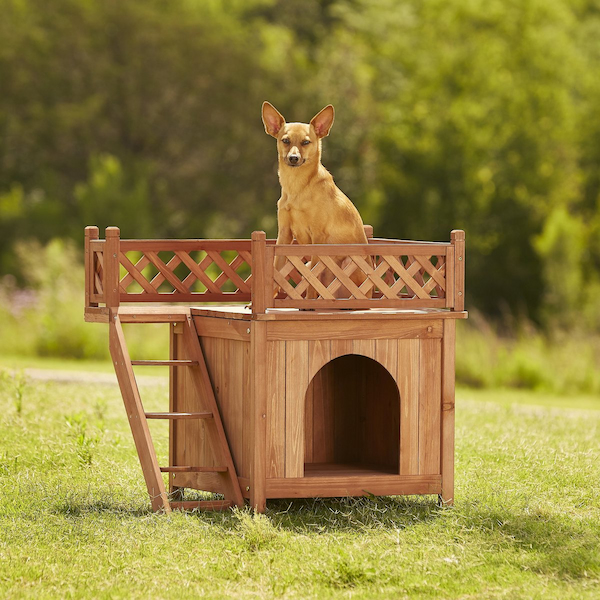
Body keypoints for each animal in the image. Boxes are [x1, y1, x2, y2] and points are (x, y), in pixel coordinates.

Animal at [262, 103, 370, 300]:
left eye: (306, 142)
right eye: (285, 141)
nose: (293, 158)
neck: (297, 187)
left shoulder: (318, 237)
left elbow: (313, 278)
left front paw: (309, 301)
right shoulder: (284, 234)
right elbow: (277, 269)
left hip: (349, 261)